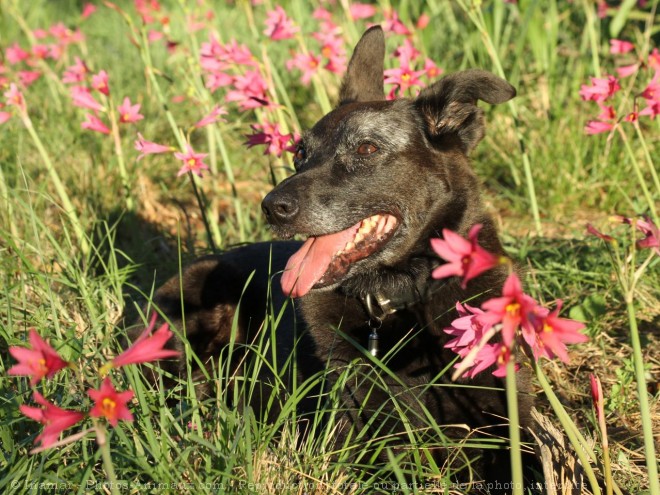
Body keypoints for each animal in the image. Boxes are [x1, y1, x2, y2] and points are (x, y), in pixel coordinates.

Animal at [137, 26, 532, 488]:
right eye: (299, 154)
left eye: (366, 149)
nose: (272, 207)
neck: (396, 297)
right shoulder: (363, 442)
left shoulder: (514, 424)